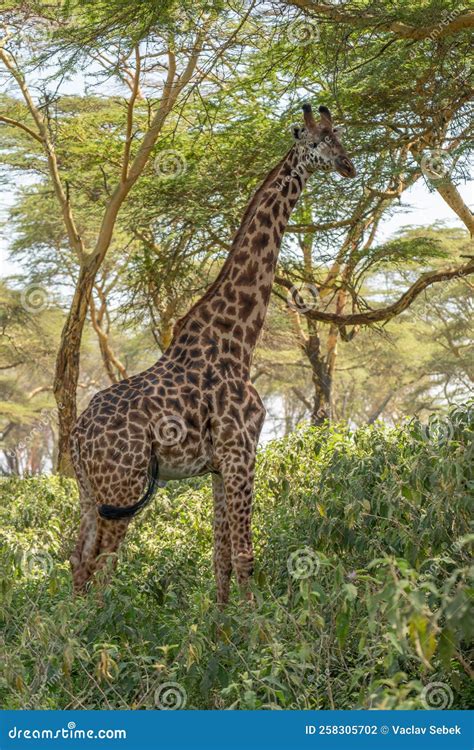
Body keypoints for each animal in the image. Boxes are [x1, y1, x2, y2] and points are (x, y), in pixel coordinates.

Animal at [70, 104, 356, 604]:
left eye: (338, 134)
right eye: (316, 142)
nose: (348, 165)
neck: (237, 339)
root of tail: (75, 440)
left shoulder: (219, 466)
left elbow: (219, 559)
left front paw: (222, 619)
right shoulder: (241, 453)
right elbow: (244, 555)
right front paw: (256, 623)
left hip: (90, 493)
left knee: (77, 562)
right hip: (122, 489)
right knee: (97, 567)